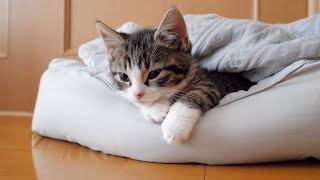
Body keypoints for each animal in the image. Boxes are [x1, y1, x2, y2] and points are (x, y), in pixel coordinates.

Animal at [96, 7, 254, 144]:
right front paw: (154, 108)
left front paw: (175, 126)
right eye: (124, 76)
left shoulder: (211, 84)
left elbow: (198, 92)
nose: (138, 94)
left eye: (154, 73)